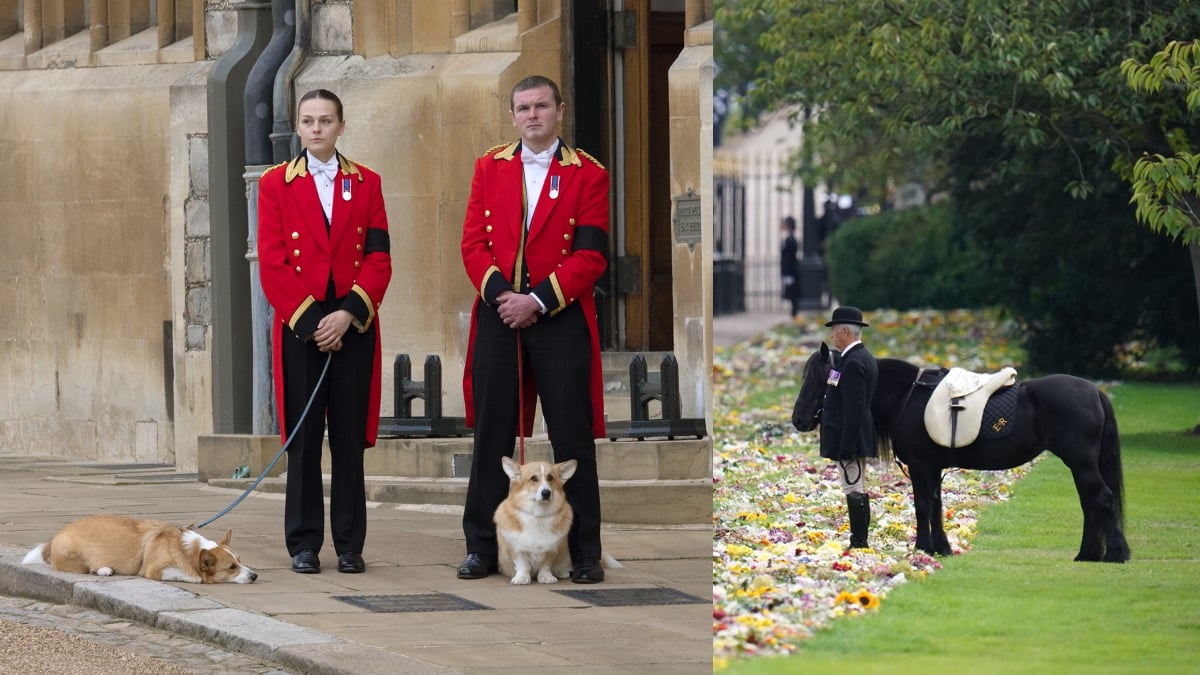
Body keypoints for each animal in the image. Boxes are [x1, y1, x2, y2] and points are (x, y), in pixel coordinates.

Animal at [792, 343, 1128, 559]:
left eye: (820, 379)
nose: (798, 419)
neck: (907, 397)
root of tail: (1094, 392)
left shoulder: (920, 465)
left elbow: (923, 506)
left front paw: (922, 548)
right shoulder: (933, 467)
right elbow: (937, 506)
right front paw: (942, 548)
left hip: (1080, 462)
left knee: (1102, 498)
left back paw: (1115, 553)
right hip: (1080, 464)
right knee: (1090, 502)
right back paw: (1088, 553)